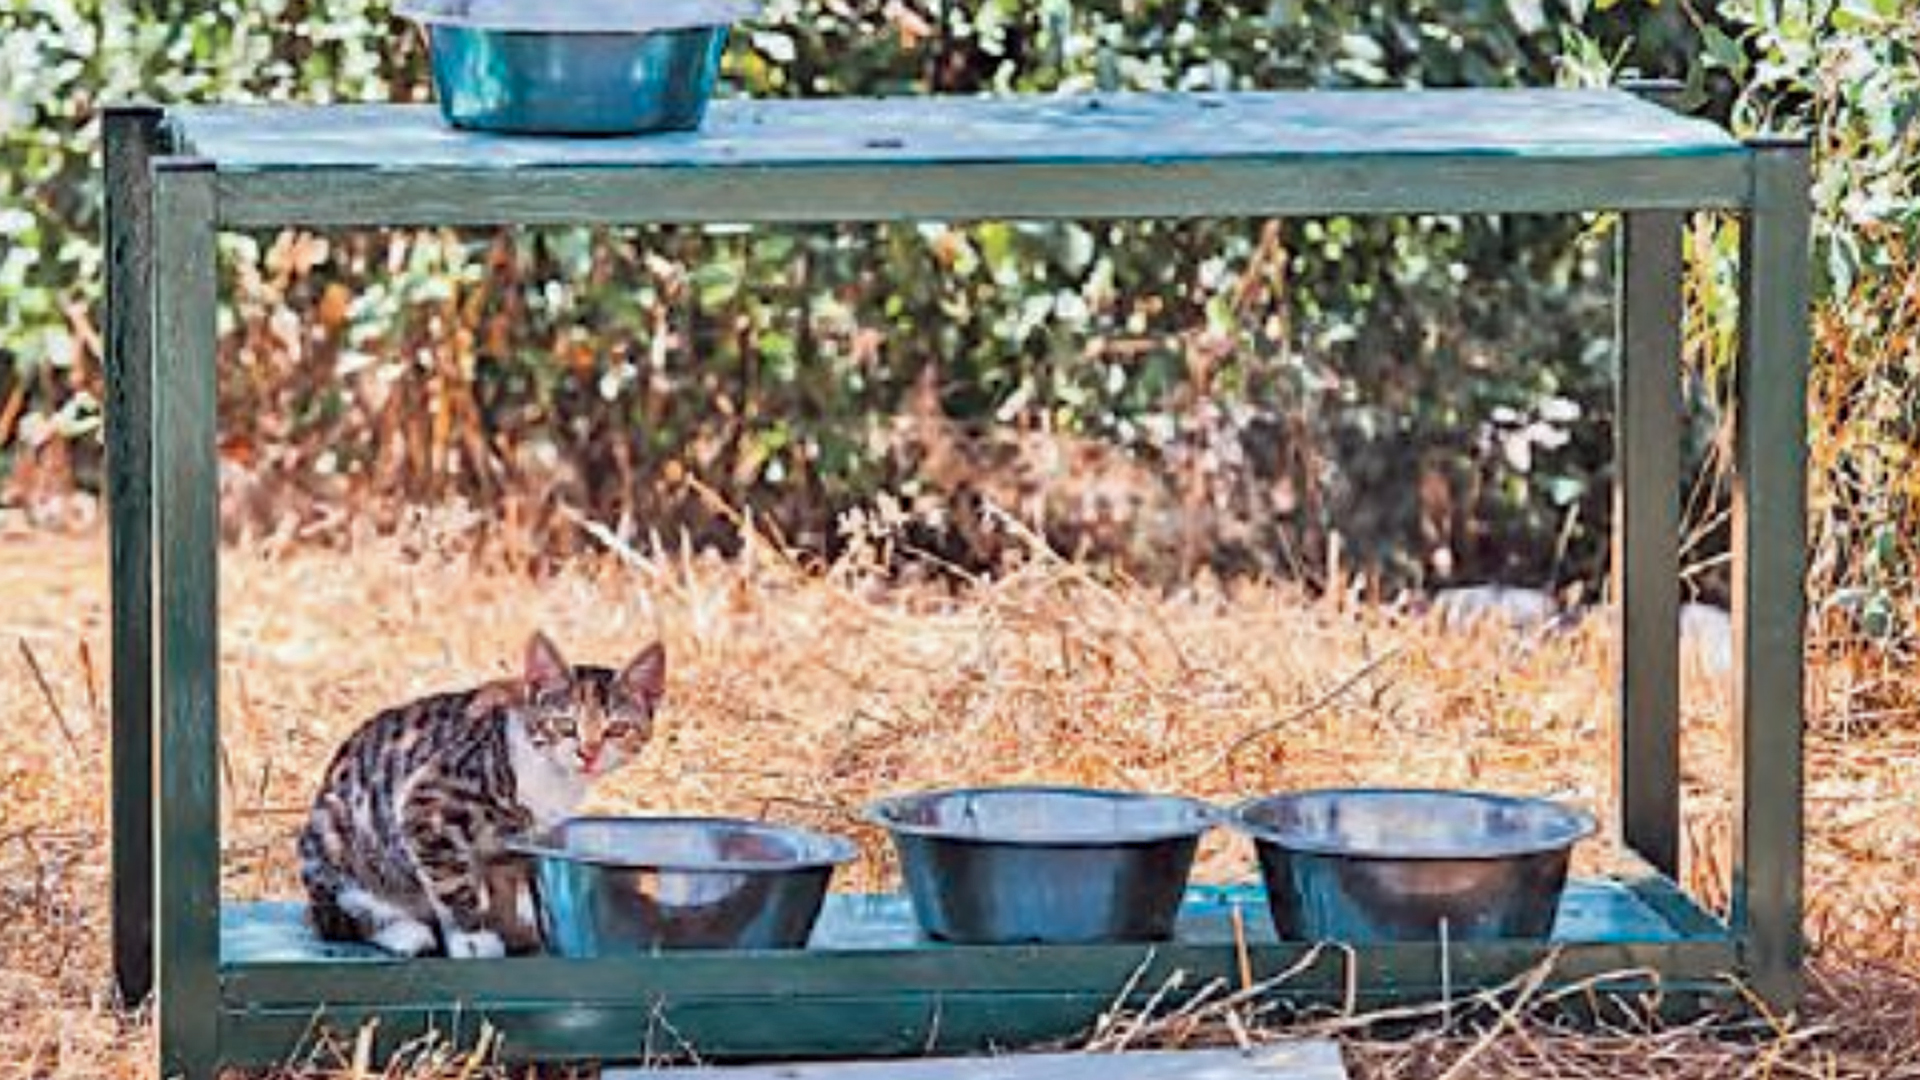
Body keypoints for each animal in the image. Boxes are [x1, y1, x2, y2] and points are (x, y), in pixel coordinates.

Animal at [295, 630, 664, 949]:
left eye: (617, 729)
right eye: (565, 725)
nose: (589, 754)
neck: (551, 776)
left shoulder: (514, 837)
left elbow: (503, 880)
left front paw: (508, 929)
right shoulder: (426, 806)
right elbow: (454, 884)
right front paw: (474, 940)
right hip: (334, 832)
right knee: (335, 916)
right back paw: (402, 931)